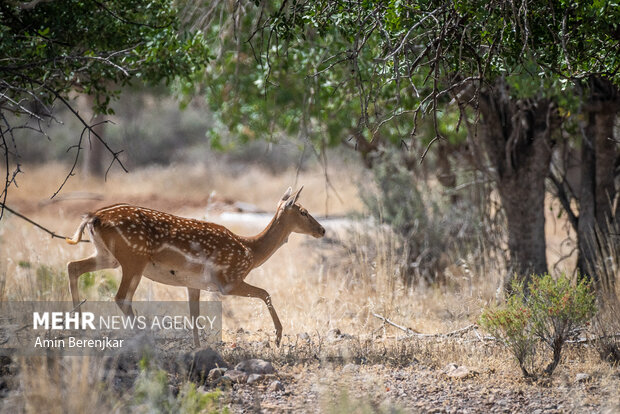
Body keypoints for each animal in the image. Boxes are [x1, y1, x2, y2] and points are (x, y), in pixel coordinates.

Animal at [65, 188, 324, 346]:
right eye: (304, 211)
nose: (322, 230)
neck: (250, 250)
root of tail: (94, 217)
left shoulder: (194, 284)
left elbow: (194, 315)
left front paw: (197, 348)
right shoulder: (228, 280)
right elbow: (265, 293)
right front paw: (279, 337)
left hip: (107, 256)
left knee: (73, 266)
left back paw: (79, 327)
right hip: (133, 258)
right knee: (121, 297)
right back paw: (143, 337)